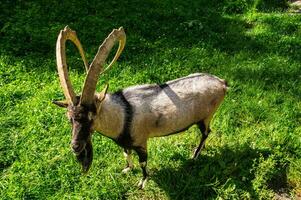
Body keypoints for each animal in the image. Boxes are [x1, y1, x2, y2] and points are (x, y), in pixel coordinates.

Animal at [52, 26, 225, 189]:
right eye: (69, 118)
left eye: (91, 116)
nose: (76, 146)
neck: (123, 114)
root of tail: (222, 83)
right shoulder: (125, 143)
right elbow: (126, 154)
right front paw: (127, 169)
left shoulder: (141, 142)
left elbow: (143, 162)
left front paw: (142, 182)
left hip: (206, 117)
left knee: (206, 132)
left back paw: (195, 155)